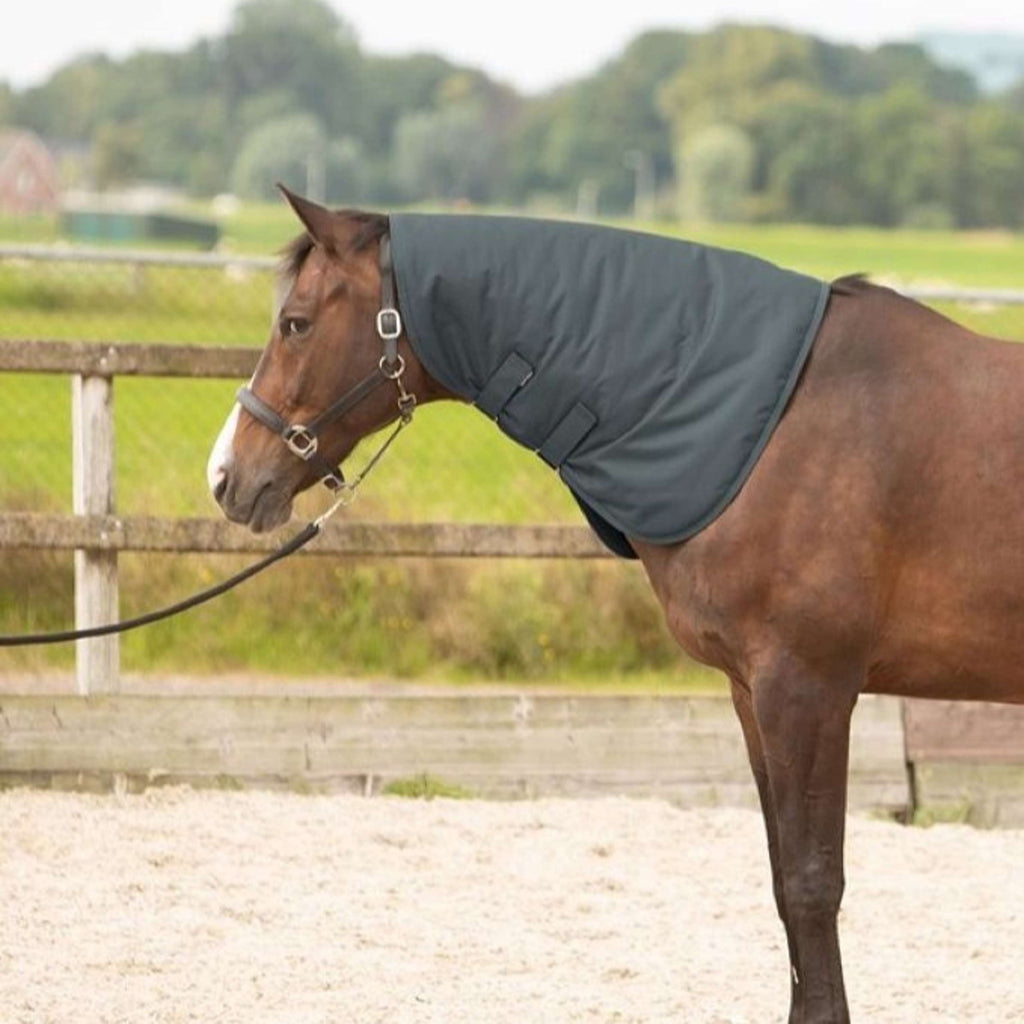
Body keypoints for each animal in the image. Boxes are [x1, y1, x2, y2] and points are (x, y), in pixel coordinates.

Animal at [207, 188, 1024, 1024]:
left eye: (295, 323)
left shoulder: (809, 691)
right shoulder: (753, 694)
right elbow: (781, 879)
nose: (227, 476)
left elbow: (810, 883)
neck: (776, 428)